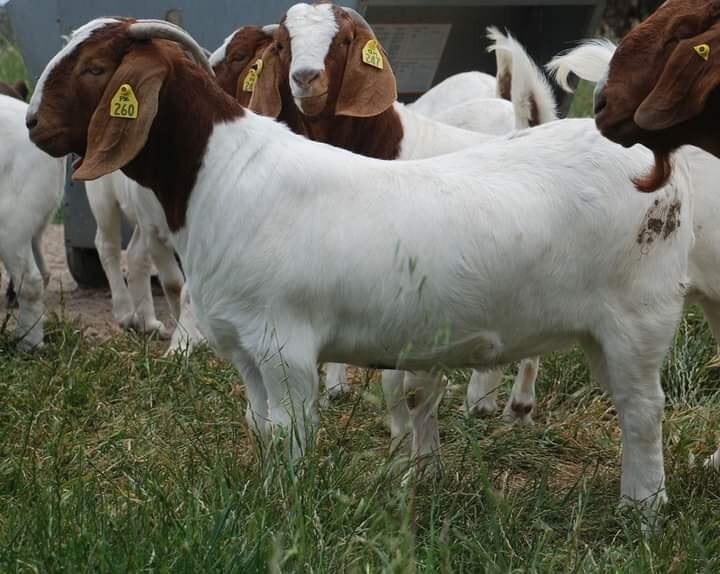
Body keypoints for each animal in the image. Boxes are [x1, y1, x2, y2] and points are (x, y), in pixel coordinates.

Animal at [28, 18, 694, 515]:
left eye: (94, 69)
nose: (33, 124)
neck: (224, 174)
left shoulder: (285, 346)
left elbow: (291, 432)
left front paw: (285, 508)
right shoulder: (246, 348)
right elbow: (259, 425)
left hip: (639, 320)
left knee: (642, 410)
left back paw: (641, 512)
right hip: (599, 333)